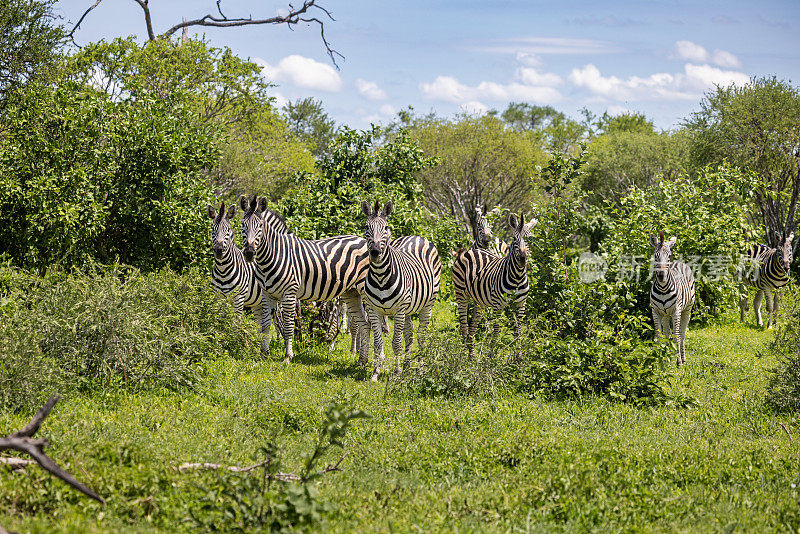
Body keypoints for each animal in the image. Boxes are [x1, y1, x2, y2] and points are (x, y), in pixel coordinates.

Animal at [239, 195, 374, 366]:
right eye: (243, 225)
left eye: (260, 226)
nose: (249, 253)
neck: (275, 254)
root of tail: (362, 240)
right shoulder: (267, 294)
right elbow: (265, 325)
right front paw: (264, 355)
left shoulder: (290, 293)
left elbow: (289, 326)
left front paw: (287, 357)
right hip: (351, 292)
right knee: (365, 324)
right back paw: (362, 360)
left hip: (364, 290)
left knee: (370, 322)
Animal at [360, 200, 440, 382]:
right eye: (367, 227)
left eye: (386, 227)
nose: (375, 252)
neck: (380, 276)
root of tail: (416, 236)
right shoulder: (373, 310)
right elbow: (378, 343)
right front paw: (376, 373)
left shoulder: (399, 310)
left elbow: (396, 343)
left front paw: (396, 373)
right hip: (409, 309)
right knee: (409, 334)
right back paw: (407, 366)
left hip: (427, 305)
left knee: (421, 337)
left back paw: (420, 370)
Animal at [454, 213, 536, 356]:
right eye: (514, 238)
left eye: (528, 239)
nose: (522, 259)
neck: (518, 277)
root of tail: (470, 250)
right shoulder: (498, 304)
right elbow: (496, 331)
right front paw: (492, 357)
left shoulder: (521, 304)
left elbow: (518, 332)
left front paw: (519, 358)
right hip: (461, 295)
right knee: (464, 326)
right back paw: (463, 357)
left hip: (479, 300)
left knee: (473, 326)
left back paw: (471, 356)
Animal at [648, 233, 696, 368]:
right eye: (655, 256)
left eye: (669, 255)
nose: (661, 276)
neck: (663, 289)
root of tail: (680, 262)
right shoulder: (655, 311)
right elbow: (659, 336)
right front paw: (658, 359)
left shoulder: (676, 311)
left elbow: (676, 336)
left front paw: (678, 361)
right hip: (665, 314)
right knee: (667, 333)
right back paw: (666, 357)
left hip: (687, 309)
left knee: (682, 334)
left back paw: (683, 358)